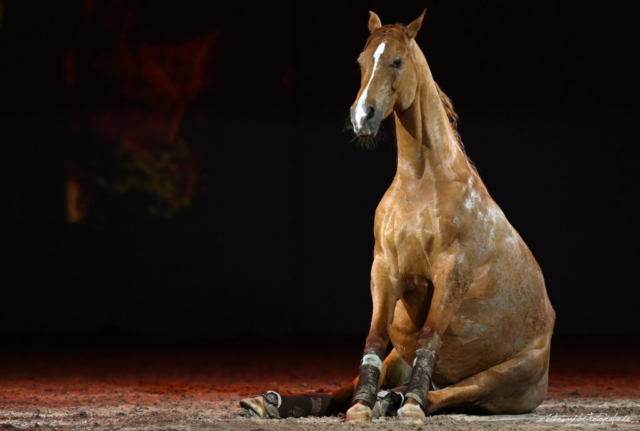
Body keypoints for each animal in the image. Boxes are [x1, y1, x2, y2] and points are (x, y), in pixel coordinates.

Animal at [240, 10, 556, 426]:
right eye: (362, 61)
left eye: (397, 61)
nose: (363, 116)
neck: (422, 184)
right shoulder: (385, 269)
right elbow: (373, 340)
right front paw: (360, 405)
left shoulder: (451, 275)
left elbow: (429, 337)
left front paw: (406, 406)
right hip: (400, 357)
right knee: (345, 389)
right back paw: (281, 401)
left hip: (501, 379)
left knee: (450, 394)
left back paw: (400, 400)